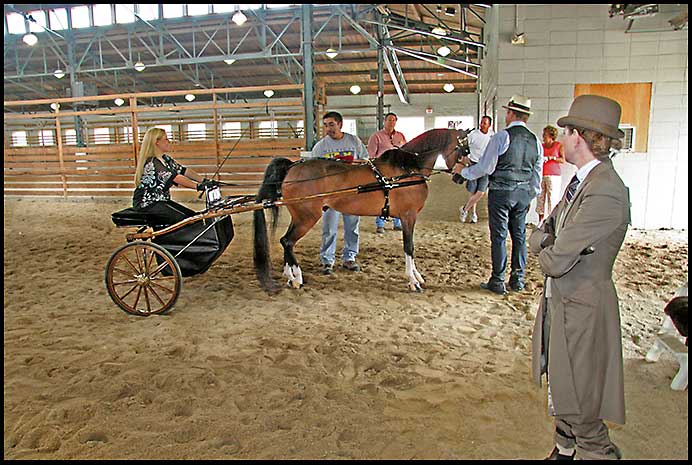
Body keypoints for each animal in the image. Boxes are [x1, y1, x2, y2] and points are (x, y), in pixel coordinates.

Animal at [253, 127, 470, 292]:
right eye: (463, 150)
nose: (461, 177)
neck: (406, 170)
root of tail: (292, 167)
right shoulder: (408, 216)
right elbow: (409, 248)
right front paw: (413, 281)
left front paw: (417, 276)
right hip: (307, 218)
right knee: (288, 241)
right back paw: (297, 278)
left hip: (299, 216)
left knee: (286, 242)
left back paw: (289, 275)